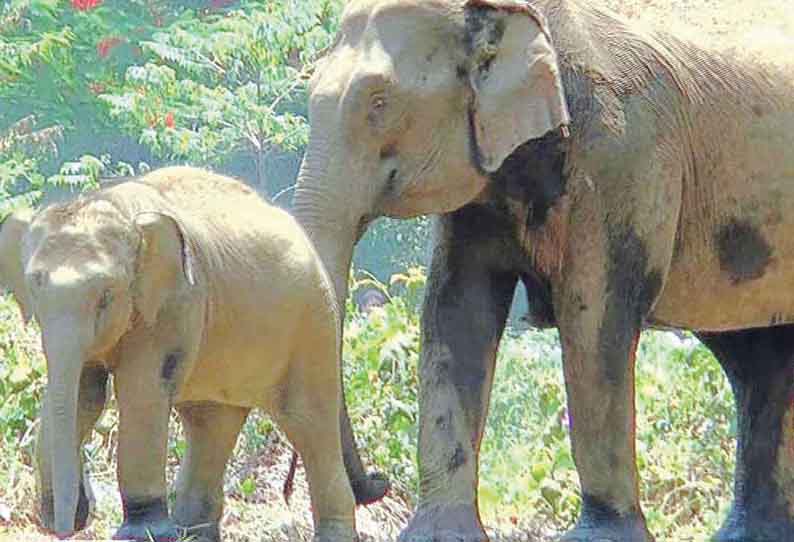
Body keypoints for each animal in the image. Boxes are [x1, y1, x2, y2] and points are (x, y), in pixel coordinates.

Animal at [0, 166, 386, 542]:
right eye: (34, 285)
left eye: (106, 295)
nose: (69, 525)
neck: (117, 206)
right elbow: (85, 394)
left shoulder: (176, 302)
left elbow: (141, 389)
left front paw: (142, 533)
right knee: (211, 423)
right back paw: (194, 533)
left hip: (313, 322)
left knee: (308, 420)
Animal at [294, 1, 792, 542]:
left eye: (379, 102)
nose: (378, 482)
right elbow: (456, 313)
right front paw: (438, 533)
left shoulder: (624, 155)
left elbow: (592, 319)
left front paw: (601, 536)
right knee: (758, 358)